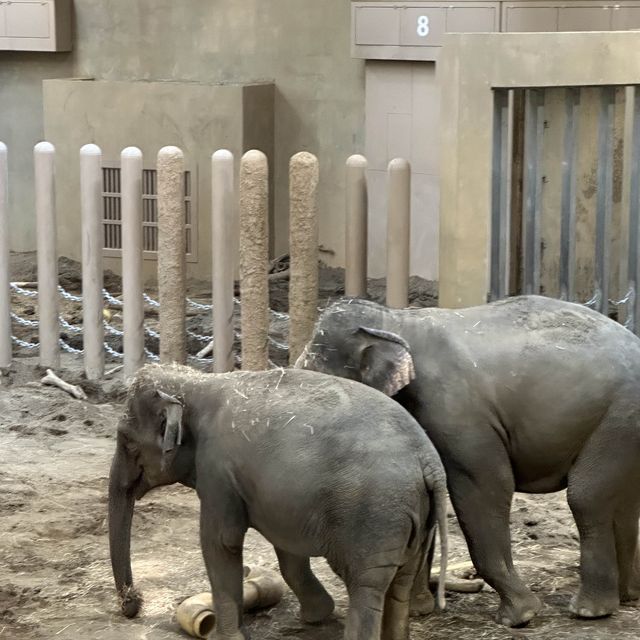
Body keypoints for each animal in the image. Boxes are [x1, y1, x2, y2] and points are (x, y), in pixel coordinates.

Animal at [107, 364, 448, 640]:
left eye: (126, 441)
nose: (133, 602)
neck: (196, 382)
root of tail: (429, 460)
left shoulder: (218, 471)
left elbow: (221, 543)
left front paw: (223, 637)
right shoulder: (282, 496)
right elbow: (287, 549)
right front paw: (315, 615)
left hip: (376, 515)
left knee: (367, 588)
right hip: (416, 518)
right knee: (399, 585)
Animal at [296, 298, 640, 628]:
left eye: (313, 370)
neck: (395, 320)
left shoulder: (457, 413)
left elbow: (487, 487)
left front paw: (519, 616)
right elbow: (430, 497)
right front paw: (419, 610)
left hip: (619, 416)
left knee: (586, 498)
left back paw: (591, 611)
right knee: (624, 502)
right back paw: (628, 595)